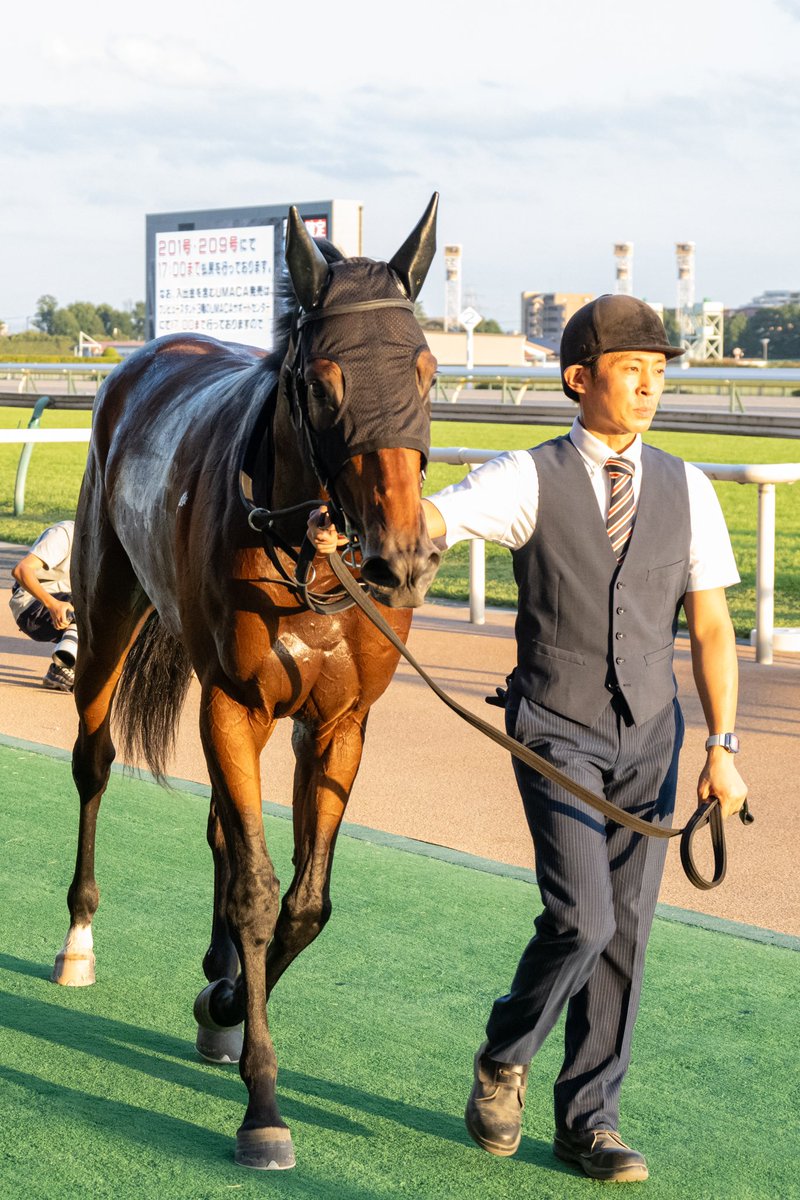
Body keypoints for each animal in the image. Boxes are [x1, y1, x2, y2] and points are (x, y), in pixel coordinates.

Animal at [51, 195, 442, 1170]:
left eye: (424, 369)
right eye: (325, 382)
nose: (404, 557)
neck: (307, 549)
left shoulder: (336, 722)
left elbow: (303, 901)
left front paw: (227, 1001)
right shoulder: (236, 702)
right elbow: (261, 893)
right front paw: (263, 1103)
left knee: (224, 834)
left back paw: (220, 972)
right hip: (106, 609)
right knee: (94, 763)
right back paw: (79, 937)